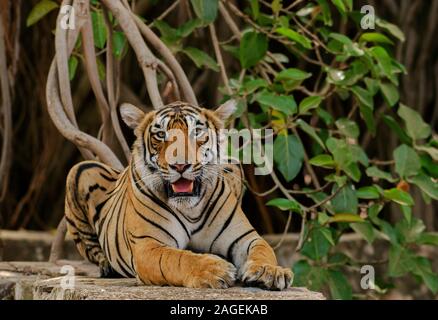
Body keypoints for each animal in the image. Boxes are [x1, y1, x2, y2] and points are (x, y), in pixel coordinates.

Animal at [63, 100, 292, 290]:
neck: (191, 209)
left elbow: (263, 249)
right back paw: (107, 267)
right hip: (80, 169)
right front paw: (215, 270)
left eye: (196, 132)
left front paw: (270, 271)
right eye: (161, 135)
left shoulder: (244, 237)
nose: (180, 165)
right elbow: (178, 259)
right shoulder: (148, 246)